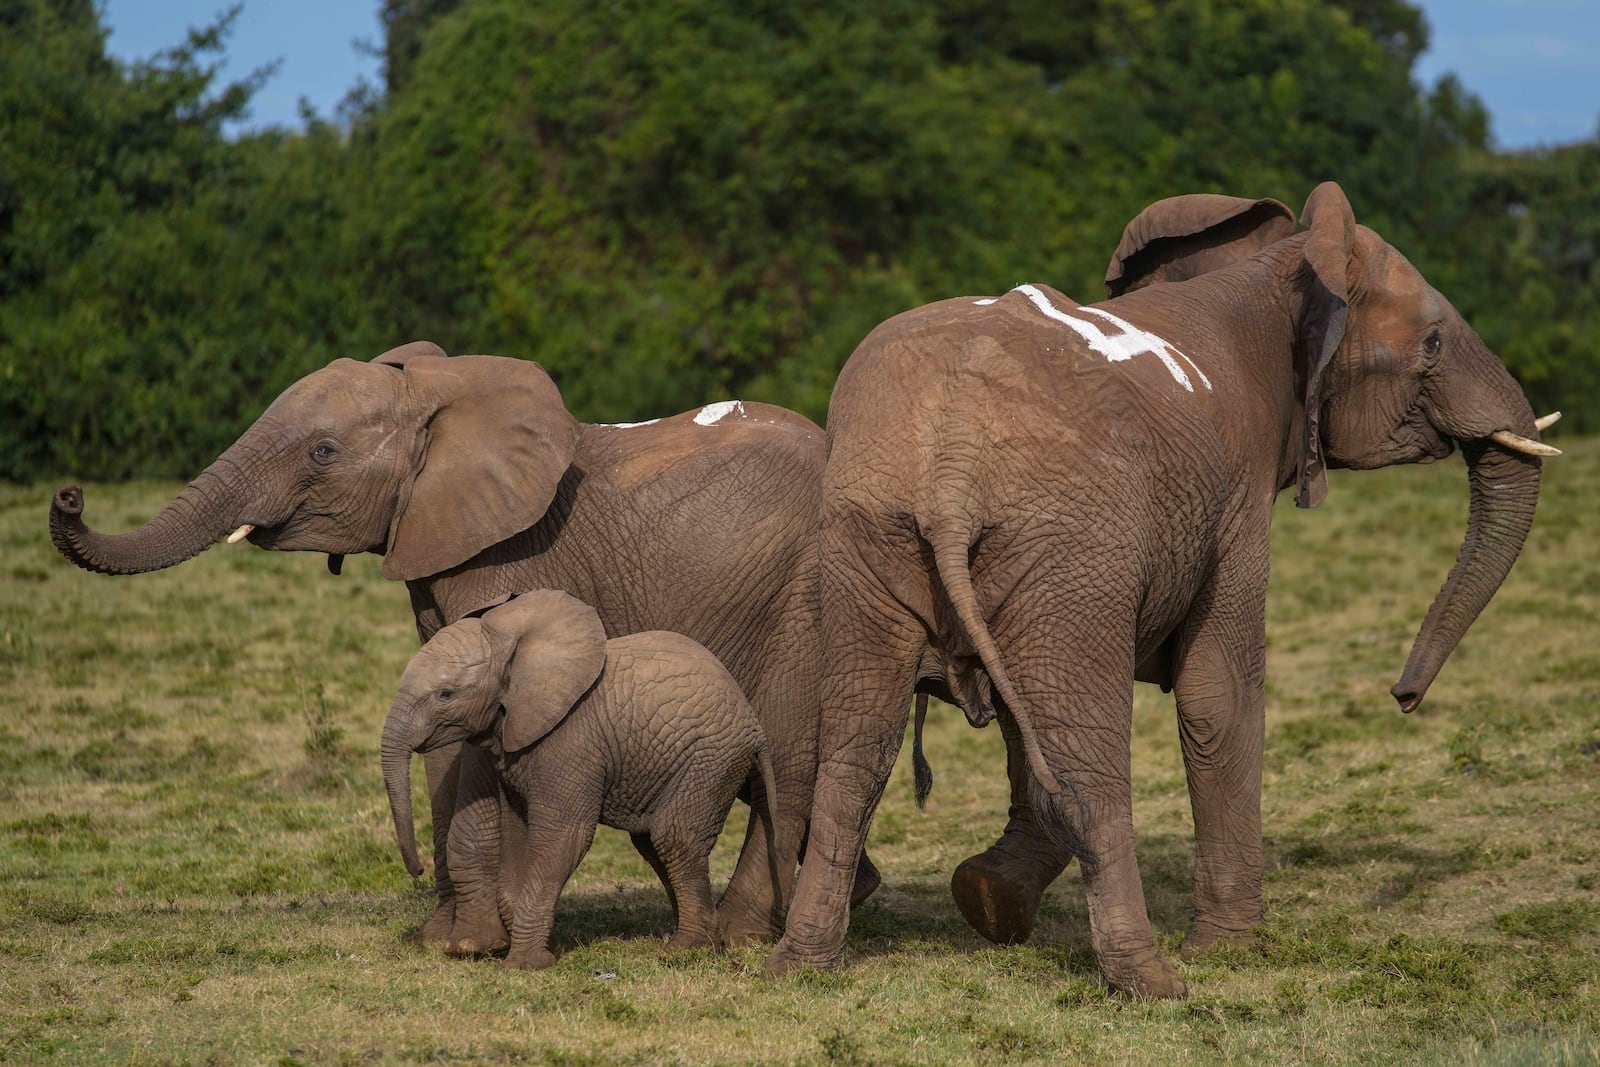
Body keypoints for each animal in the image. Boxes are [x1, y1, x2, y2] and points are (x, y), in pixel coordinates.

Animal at [374, 588, 774, 972]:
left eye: (446, 695)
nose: (418, 869)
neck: (516, 651)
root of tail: (755, 725)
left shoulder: (571, 740)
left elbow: (563, 836)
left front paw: (524, 965)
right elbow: (516, 833)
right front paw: (545, 948)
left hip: (711, 759)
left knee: (674, 836)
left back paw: (684, 952)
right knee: (651, 841)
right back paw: (700, 941)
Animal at [768, 183, 1555, 1004]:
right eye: (1432, 343)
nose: (1403, 695)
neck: (1279, 273)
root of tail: (952, 459)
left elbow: (1023, 719)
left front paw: (990, 898)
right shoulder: (1238, 492)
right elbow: (1219, 692)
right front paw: (1231, 950)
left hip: (870, 531)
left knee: (860, 743)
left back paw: (800, 966)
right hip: (1072, 545)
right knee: (1085, 756)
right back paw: (1154, 980)